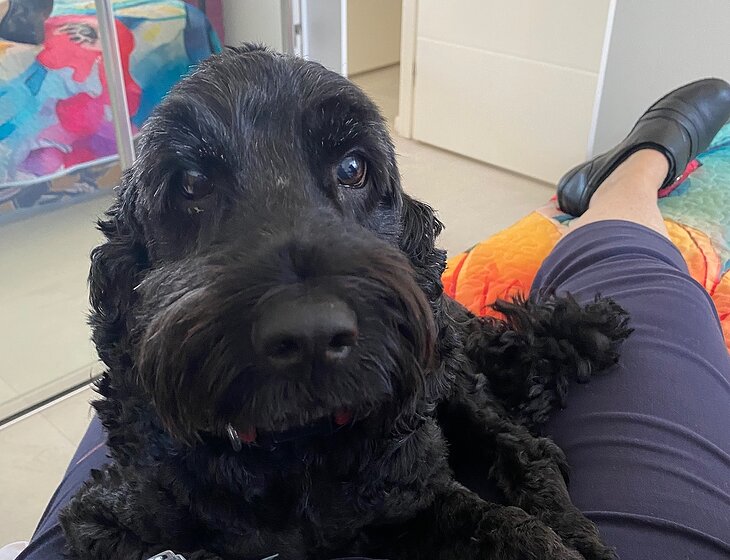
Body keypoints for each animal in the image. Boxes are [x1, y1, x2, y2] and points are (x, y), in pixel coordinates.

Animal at [61, 45, 631, 560]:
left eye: (353, 167)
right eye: (192, 183)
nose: (310, 333)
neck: (293, 448)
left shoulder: (412, 498)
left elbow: (512, 528)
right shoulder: (104, 517)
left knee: (528, 450)